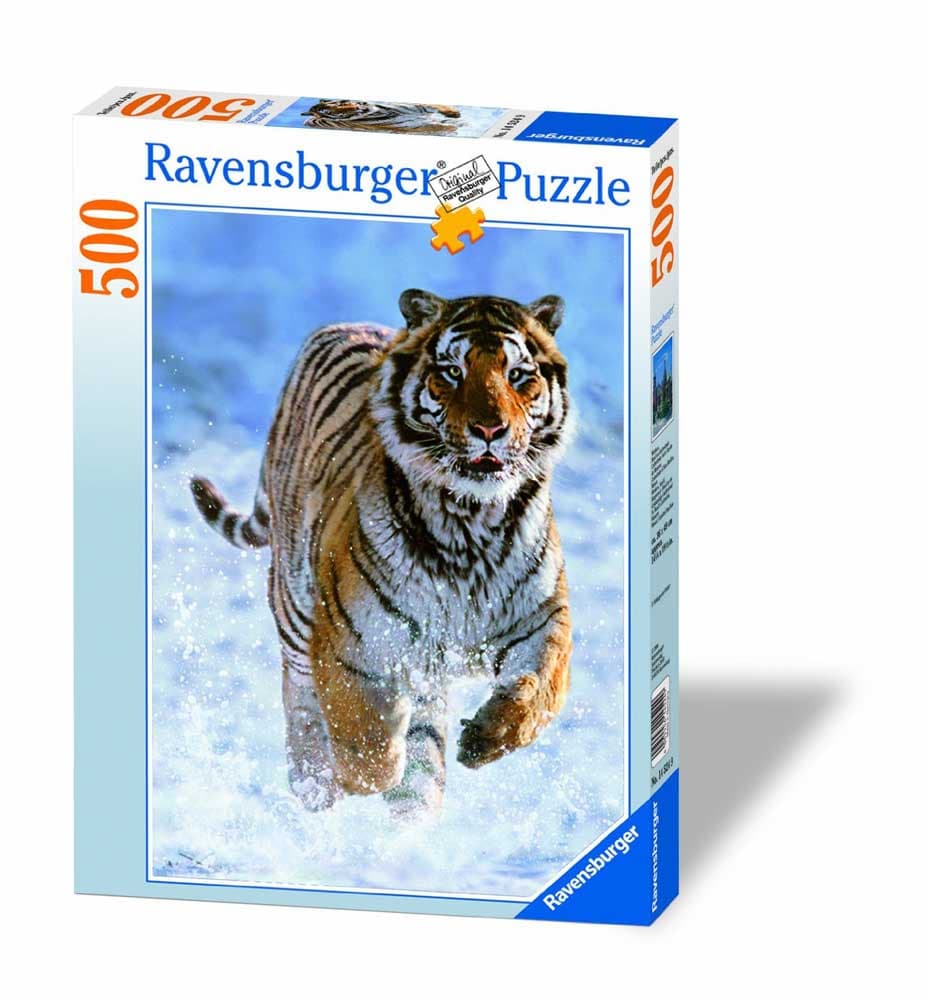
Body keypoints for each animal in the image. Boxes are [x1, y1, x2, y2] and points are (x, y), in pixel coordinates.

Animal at [190, 290, 573, 817]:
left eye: (519, 375)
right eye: (451, 371)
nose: (490, 429)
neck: (470, 521)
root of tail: (340, 325)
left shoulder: (541, 618)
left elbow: (541, 688)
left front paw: (484, 738)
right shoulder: (350, 642)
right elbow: (367, 745)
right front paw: (362, 771)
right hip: (295, 610)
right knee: (301, 701)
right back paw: (316, 788)